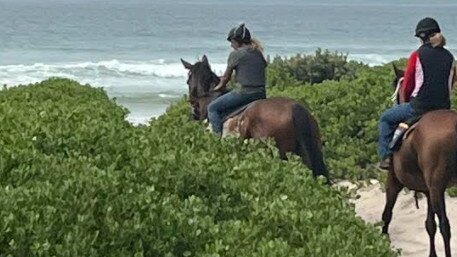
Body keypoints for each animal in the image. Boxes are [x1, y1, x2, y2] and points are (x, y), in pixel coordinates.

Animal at [382, 64, 456, 256]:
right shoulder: (428, 190)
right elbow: (430, 224)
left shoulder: (393, 180)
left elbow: (387, 214)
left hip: (437, 187)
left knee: (445, 226)